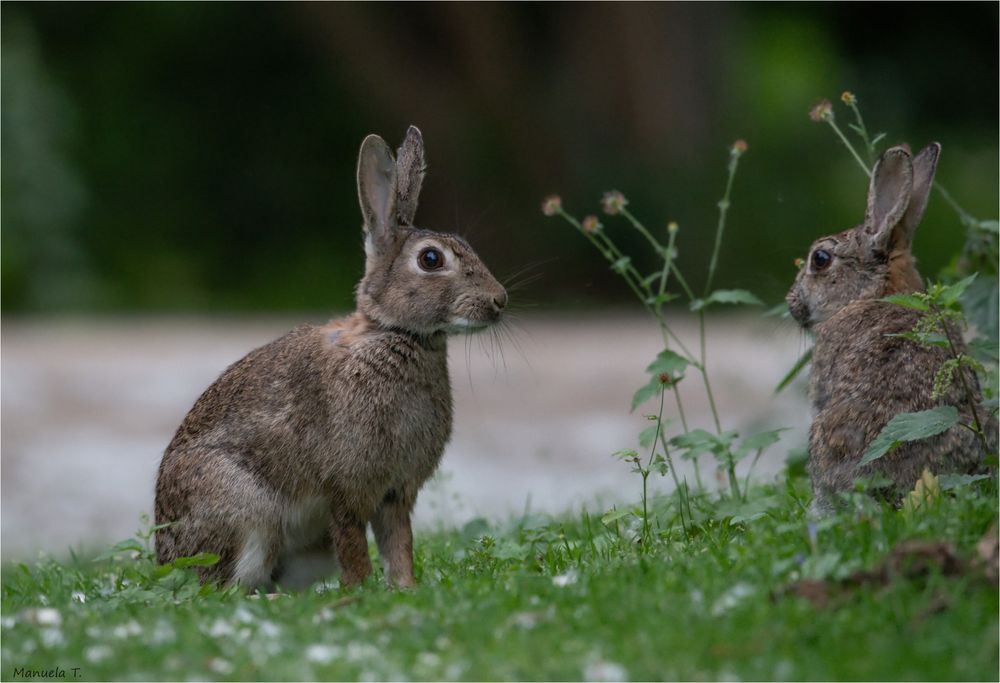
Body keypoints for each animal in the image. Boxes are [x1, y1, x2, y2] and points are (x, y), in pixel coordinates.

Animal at [155, 127, 508, 588]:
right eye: (431, 259)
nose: (500, 301)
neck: (395, 335)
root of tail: (163, 557)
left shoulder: (397, 493)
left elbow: (399, 545)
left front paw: (405, 589)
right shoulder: (348, 488)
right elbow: (355, 544)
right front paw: (364, 591)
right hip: (245, 512)